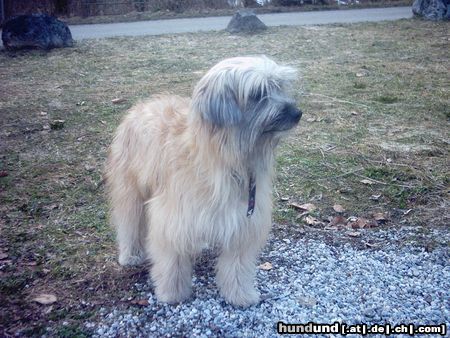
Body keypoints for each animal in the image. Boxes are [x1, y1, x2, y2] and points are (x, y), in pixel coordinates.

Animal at [106, 55, 302, 306]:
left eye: (280, 87)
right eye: (258, 93)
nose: (297, 113)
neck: (226, 161)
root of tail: (140, 105)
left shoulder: (243, 221)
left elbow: (237, 266)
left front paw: (240, 294)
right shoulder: (173, 219)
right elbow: (172, 262)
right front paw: (172, 293)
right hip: (130, 188)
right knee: (128, 222)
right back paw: (130, 254)